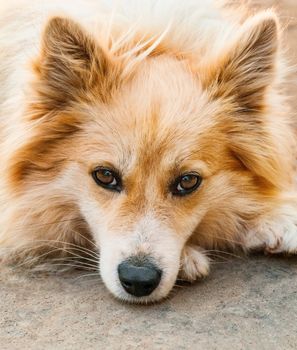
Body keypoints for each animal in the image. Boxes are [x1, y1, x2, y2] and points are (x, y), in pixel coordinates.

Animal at [0, 0, 296, 302]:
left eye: (188, 181)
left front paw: (275, 215)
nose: (138, 280)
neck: (147, 40)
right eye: (105, 176)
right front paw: (189, 257)